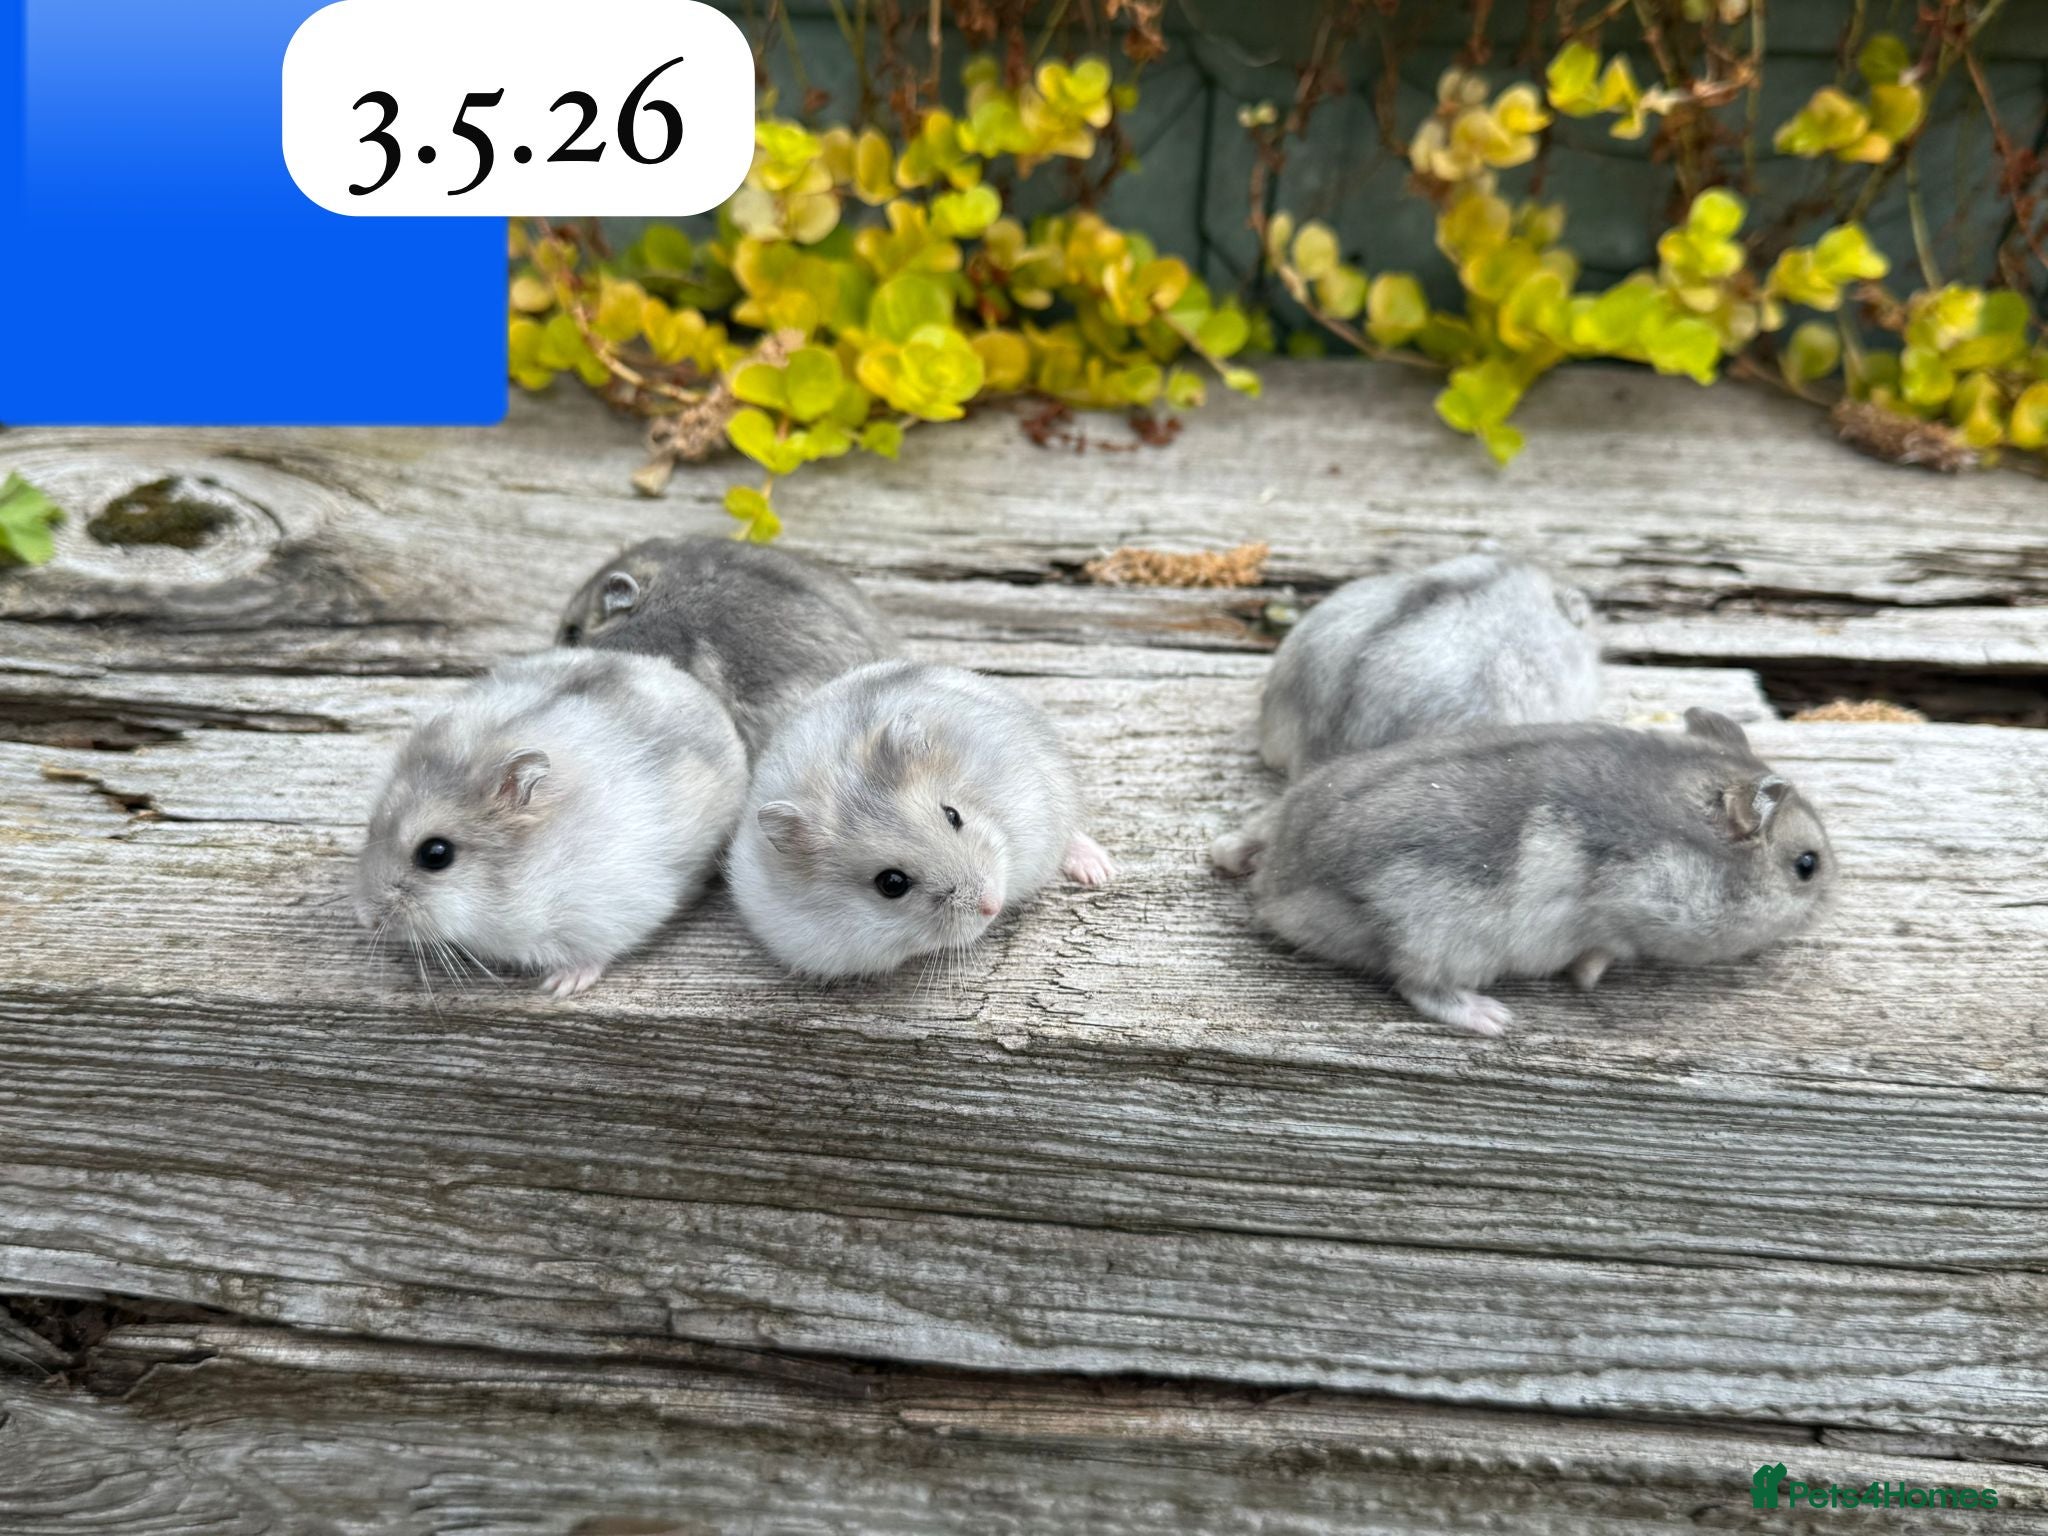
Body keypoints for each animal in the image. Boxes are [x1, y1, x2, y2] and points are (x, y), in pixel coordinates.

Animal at [1216, 708, 1835, 1036]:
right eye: (1807, 865)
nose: (1827, 906)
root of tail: (1277, 889)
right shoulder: (1621, 921)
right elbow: (1599, 956)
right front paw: (1585, 982)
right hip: (1442, 941)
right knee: (1418, 987)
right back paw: (1494, 1019)